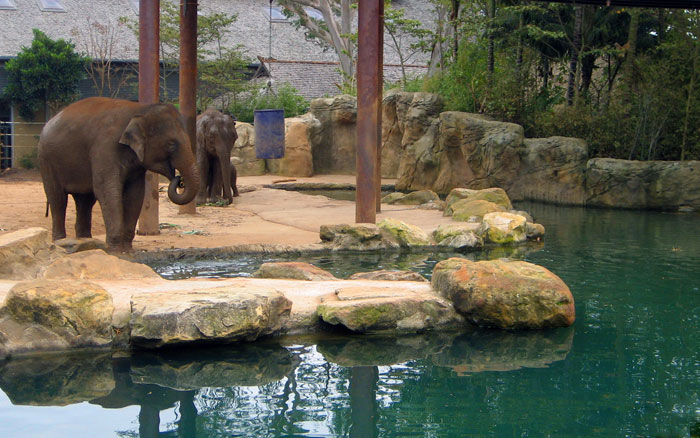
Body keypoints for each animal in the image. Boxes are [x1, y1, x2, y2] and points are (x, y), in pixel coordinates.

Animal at [38, 97, 200, 252]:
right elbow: (107, 191)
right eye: (171, 144)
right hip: (47, 161)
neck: (140, 109)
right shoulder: (105, 148)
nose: (179, 179)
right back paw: (61, 242)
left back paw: (85, 242)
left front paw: (128, 250)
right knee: (58, 199)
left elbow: (135, 194)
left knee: (85, 201)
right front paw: (115, 251)